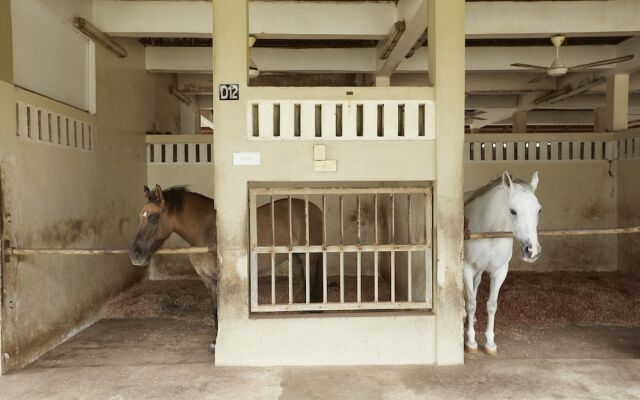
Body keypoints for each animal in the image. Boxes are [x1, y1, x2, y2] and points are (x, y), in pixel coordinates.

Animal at [129, 186, 324, 352]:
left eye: (153, 218)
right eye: (139, 217)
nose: (135, 255)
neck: (205, 231)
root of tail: (314, 208)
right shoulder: (208, 281)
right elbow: (215, 310)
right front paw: (215, 341)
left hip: (309, 258)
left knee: (312, 286)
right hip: (296, 259)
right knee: (305, 286)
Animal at [462, 170, 544, 354]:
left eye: (539, 210)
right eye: (513, 211)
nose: (532, 251)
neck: (489, 232)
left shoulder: (500, 271)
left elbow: (492, 305)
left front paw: (490, 343)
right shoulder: (467, 267)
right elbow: (471, 303)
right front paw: (471, 342)